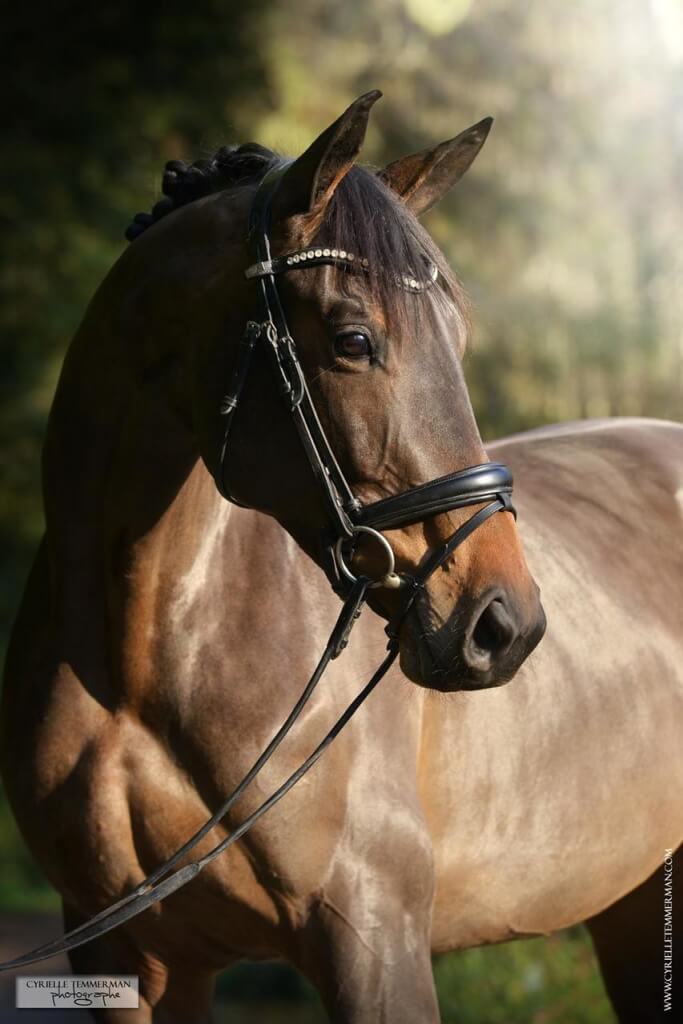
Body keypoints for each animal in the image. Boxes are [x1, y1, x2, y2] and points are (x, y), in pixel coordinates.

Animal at [1, 90, 681, 1023]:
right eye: (354, 340)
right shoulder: (126, 955)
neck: (140, 659)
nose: (503, 626)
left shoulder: (372, 943)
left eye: (457, 336)